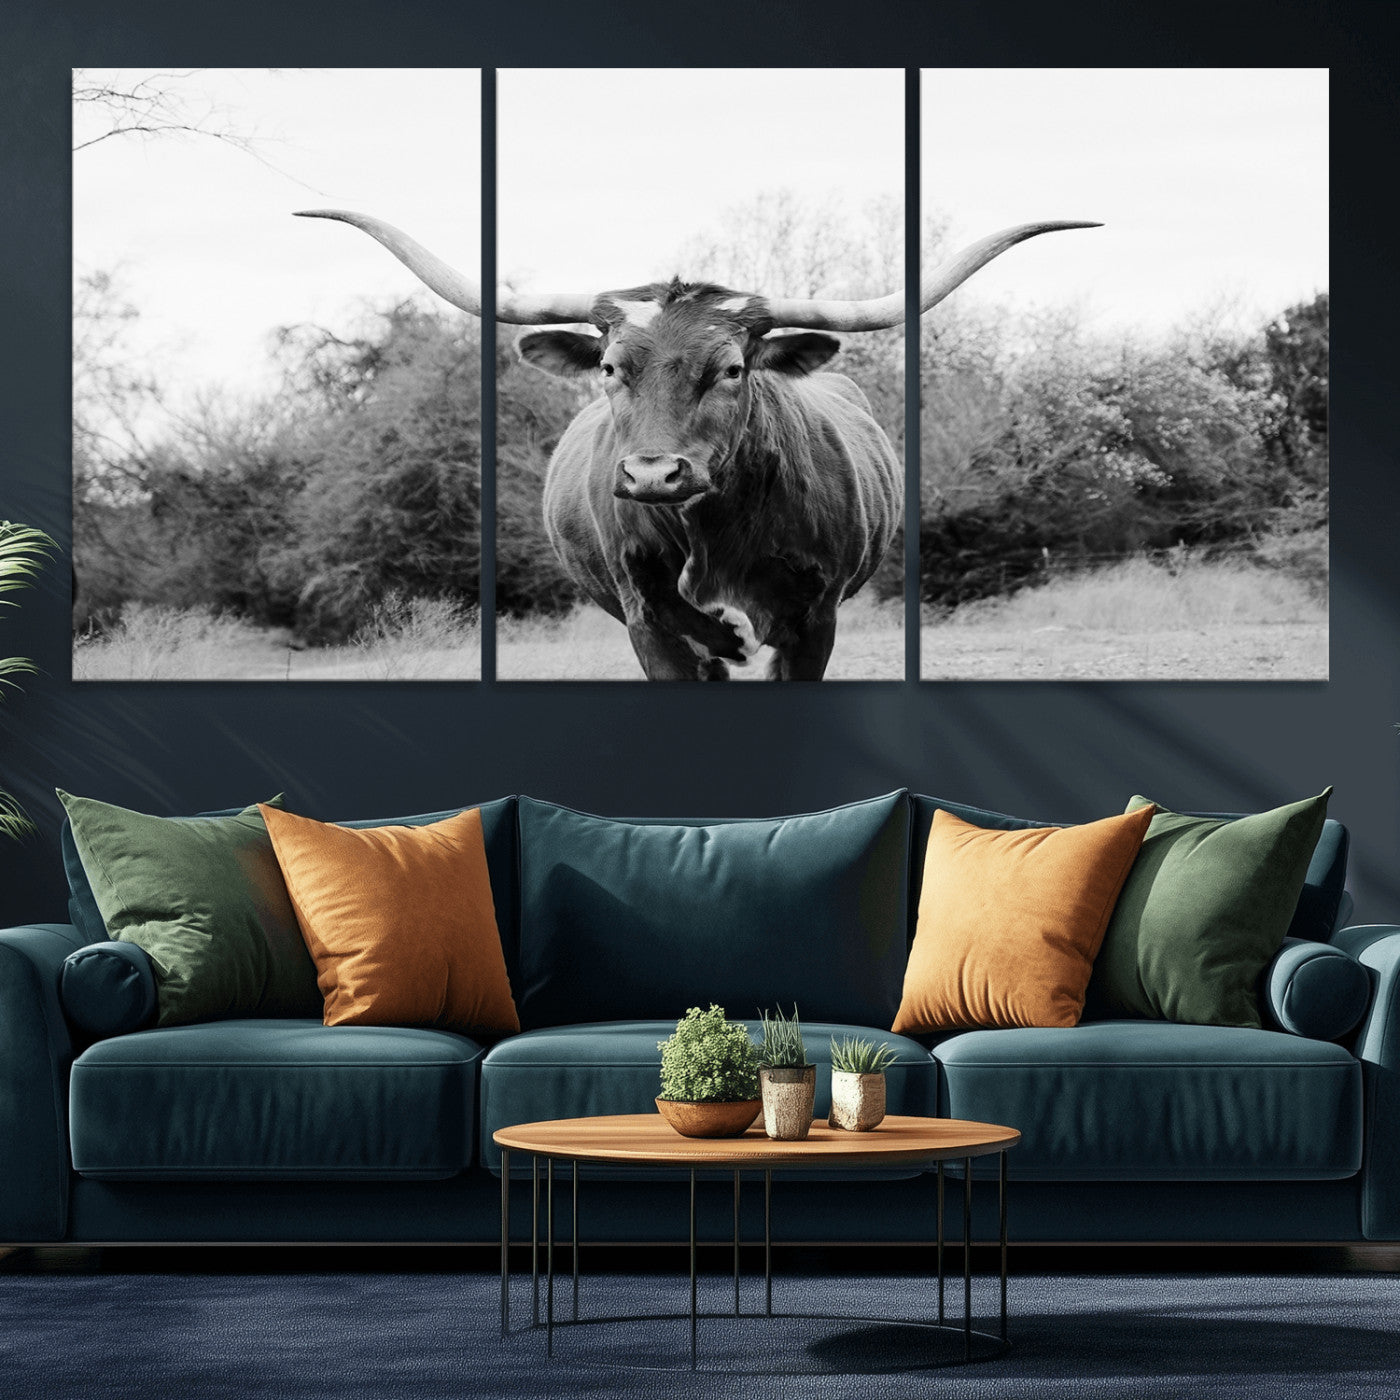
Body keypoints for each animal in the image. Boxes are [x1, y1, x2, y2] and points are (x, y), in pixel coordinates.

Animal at [297, 210, 1098, 679]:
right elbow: (698, 640)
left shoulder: (814, 619)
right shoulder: (647, 618)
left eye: (733, 369)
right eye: (610, 368)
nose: (654, 475)